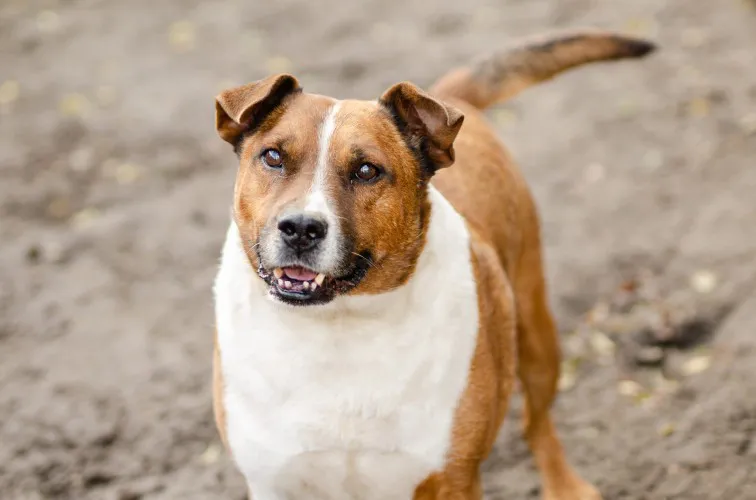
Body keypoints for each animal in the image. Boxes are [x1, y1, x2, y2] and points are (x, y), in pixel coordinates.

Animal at [211, 29, 656, 498]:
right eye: (273, 157)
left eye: (367, 170)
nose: (300, 228)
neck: (338, 326)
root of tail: (449, 99)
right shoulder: (274, 480)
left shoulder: (454, 478)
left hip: (536, 334)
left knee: (537, 422)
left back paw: (565, 485)